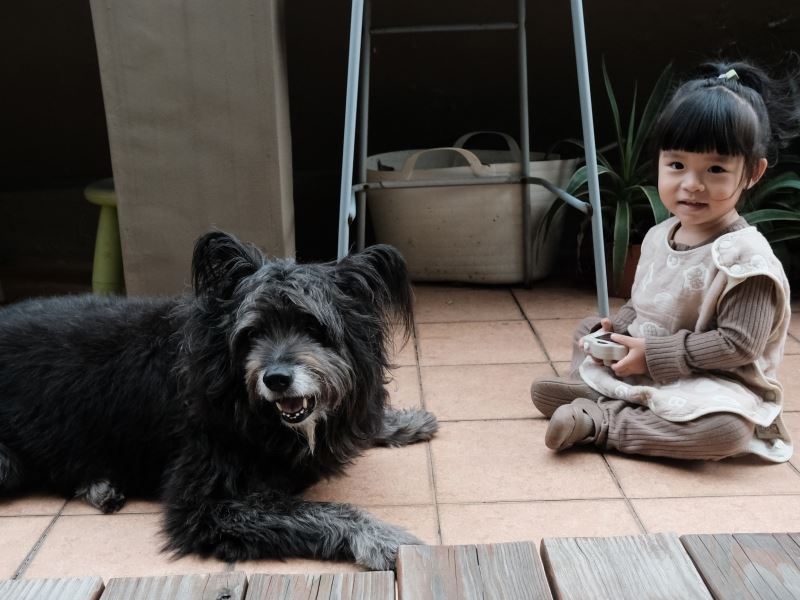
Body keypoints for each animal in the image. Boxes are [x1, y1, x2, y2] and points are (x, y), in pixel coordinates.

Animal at [0, 232, 438, 568]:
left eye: (313, 327)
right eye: (252, 333)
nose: (276, 379)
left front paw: (402, 422)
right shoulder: (206, 500)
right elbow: (320, 511)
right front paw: (384, 538)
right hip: (9, 464)